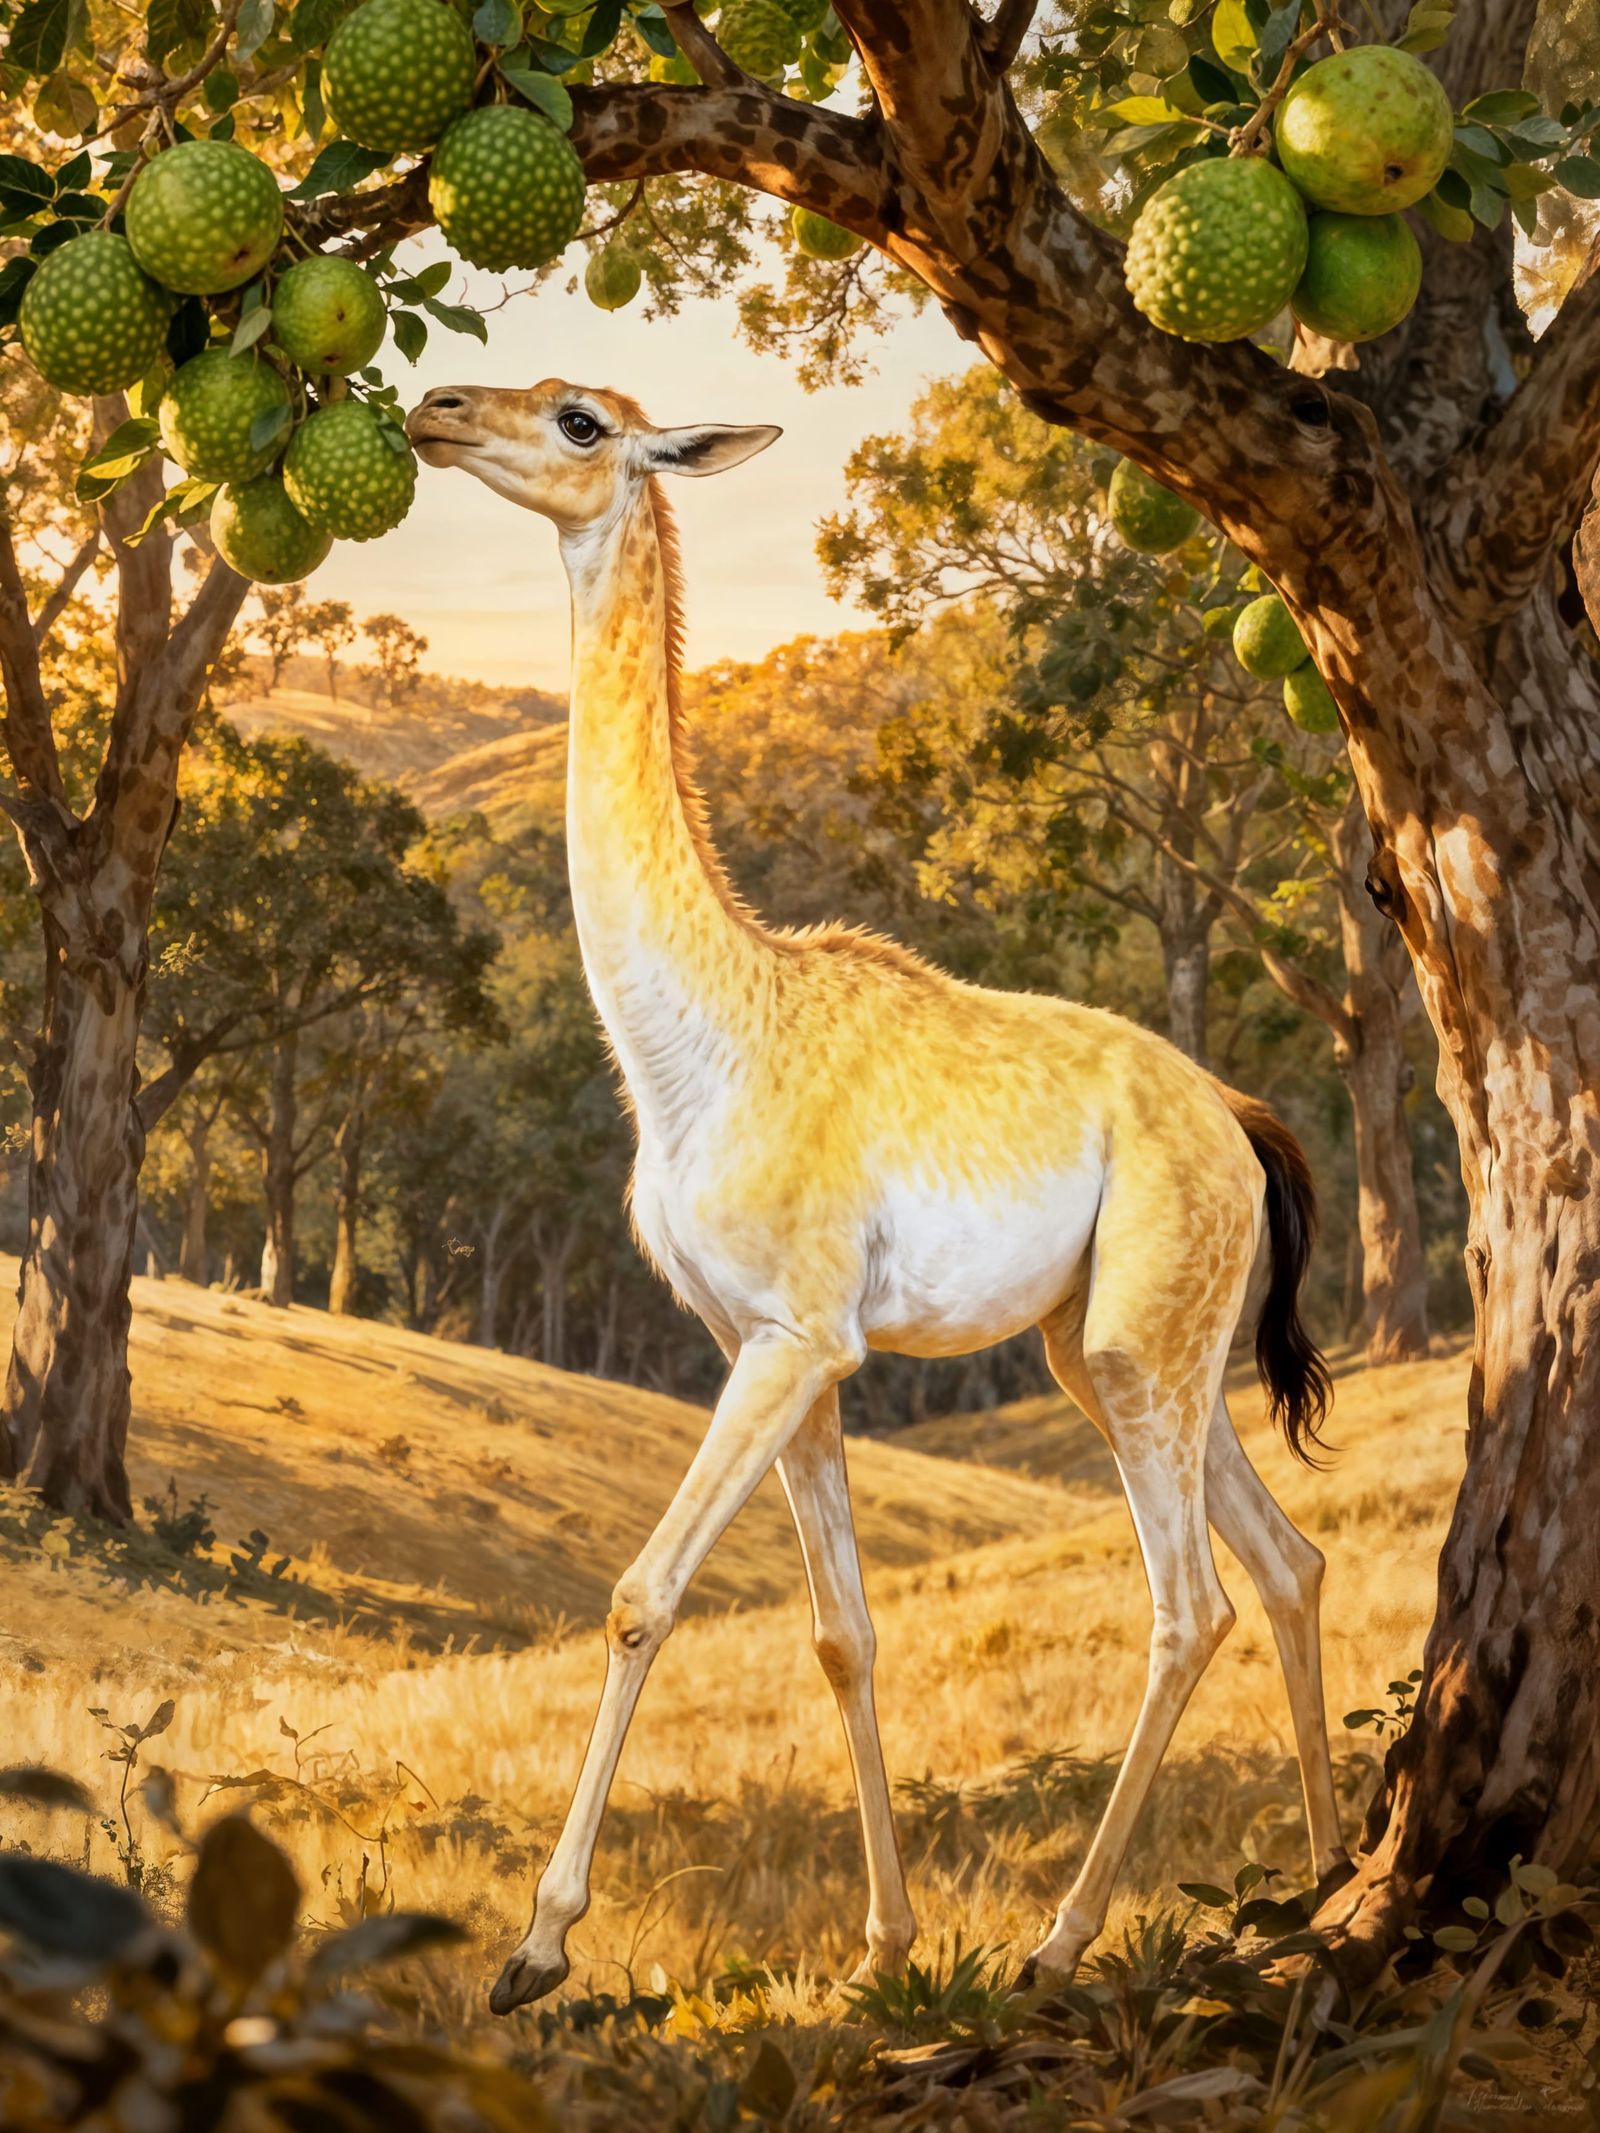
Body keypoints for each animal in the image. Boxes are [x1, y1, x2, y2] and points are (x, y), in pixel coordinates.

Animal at [404, 379, 1353, 2017]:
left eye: (580, 418)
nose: (434, 408)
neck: (696, 1046)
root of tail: (1240, 1126)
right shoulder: (773, 1347)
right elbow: (841, 1633)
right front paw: (882, 1945)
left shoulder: (798, 1336)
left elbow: (645, 1591)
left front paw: (536, 1947)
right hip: (1120, 1350)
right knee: (1285, 1562)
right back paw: (1313, 1880)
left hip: (1134, 1348)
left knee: (1194, 1602)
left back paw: (1061, 1940)